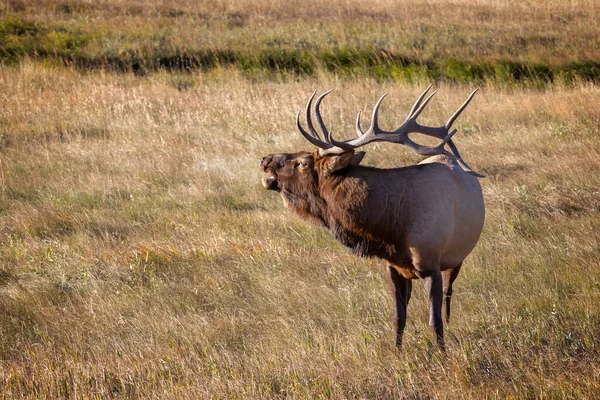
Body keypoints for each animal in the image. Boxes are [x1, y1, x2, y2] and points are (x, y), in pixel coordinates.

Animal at [260, 86, 486, 348]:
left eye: (302, 163)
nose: (264, 159)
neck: (393, 229)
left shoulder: (431, 265)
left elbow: (434, 321)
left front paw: (442, 353)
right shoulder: (393, 266)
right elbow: (398, 318)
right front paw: (396, 352)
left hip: (456, 257)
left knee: (449, 294)